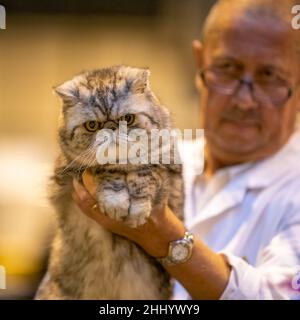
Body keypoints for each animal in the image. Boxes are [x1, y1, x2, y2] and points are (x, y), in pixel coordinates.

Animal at [36, 65, 184, 300]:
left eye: (128, 119)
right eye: (92, 125)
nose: (111, 129)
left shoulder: (168, 169)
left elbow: (145, 175)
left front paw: (137, 210)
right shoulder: (71, 171)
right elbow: (105, 171)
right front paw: (116, 202)